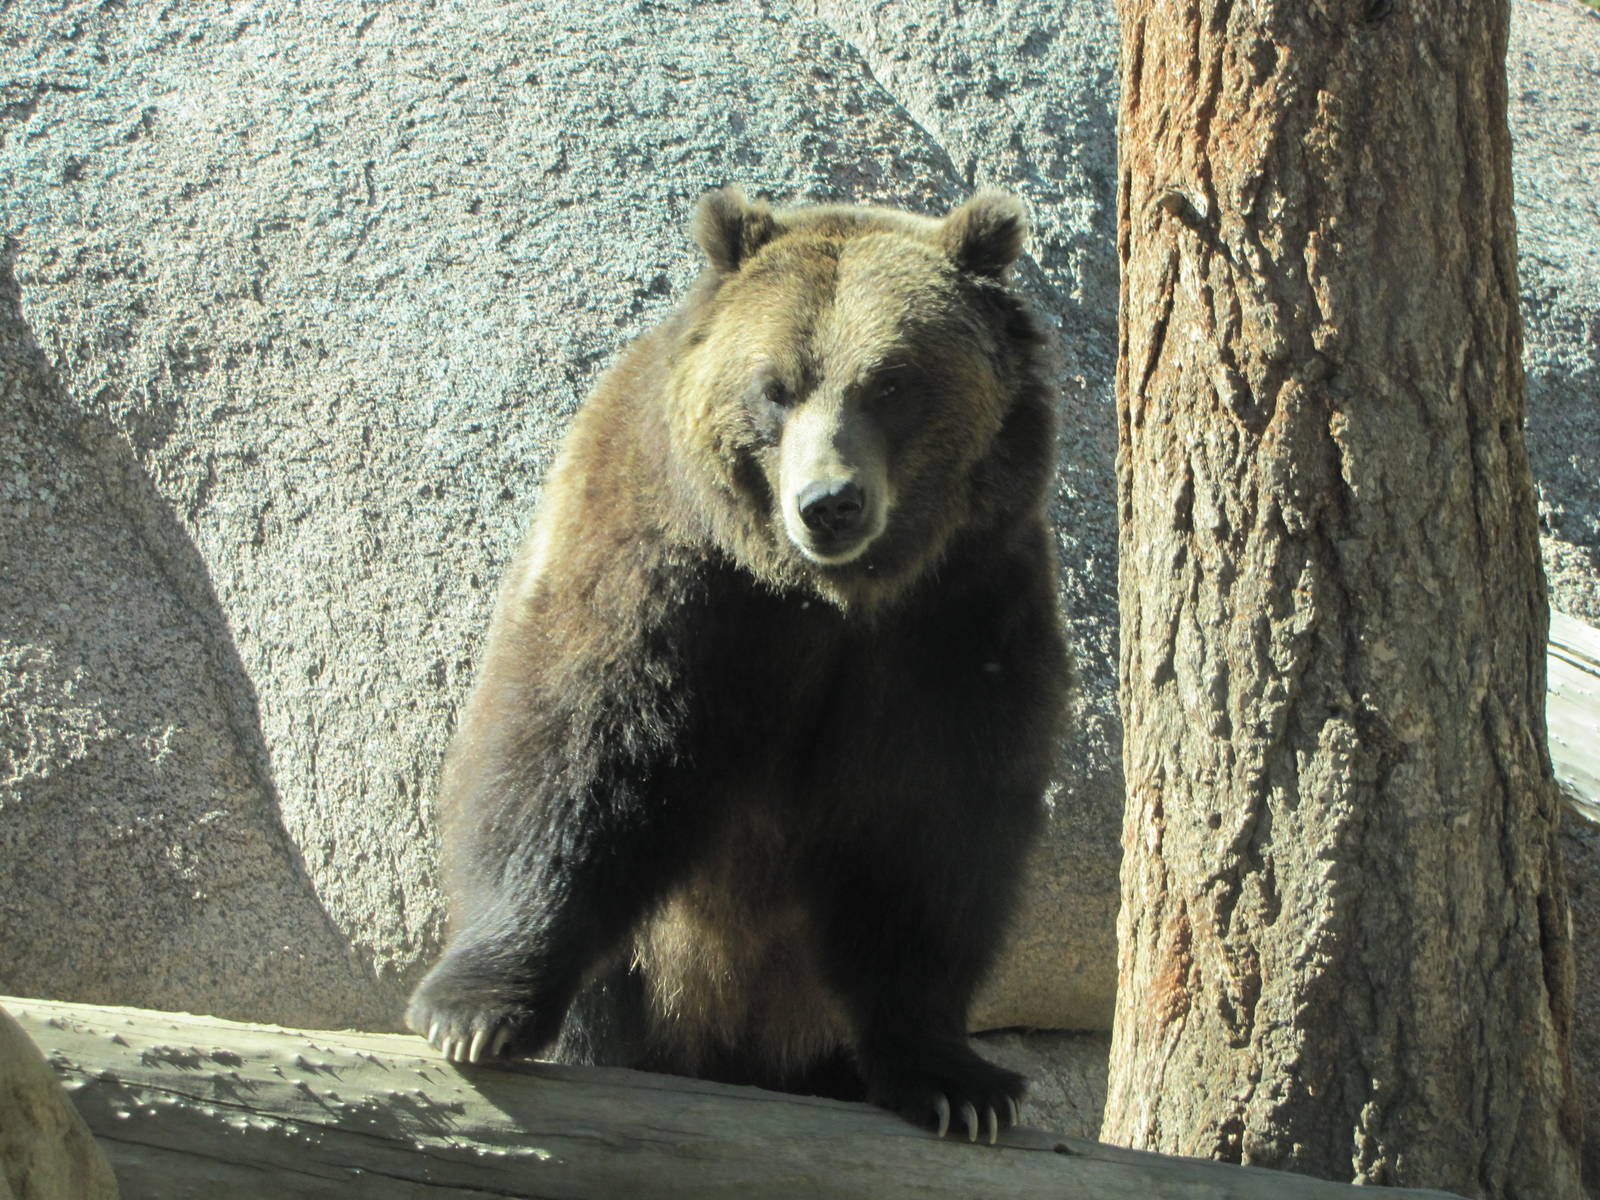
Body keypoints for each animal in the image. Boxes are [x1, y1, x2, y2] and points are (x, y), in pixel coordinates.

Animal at [405, 186, 1071, 1144]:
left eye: (892, 382)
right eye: (776, 387)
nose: (829, 503)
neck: (825, 597)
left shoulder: (958, 611)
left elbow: (930, 827)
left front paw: (956, 1081)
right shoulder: (676, 570)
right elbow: (579, 750)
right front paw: (474, 1010)